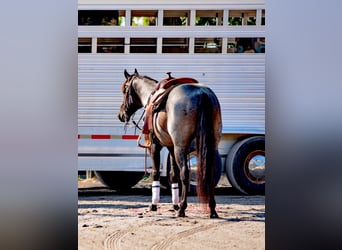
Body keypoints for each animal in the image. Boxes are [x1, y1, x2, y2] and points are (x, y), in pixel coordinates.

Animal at [117, 69, 223, 219]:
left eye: (124, 90)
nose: (121, 115)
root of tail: (202, 94)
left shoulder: (155, 146)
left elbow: (156, 173)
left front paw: (154, 204)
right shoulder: (171, 148)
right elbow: (173, 174)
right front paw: (174, 204)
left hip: (181, 147)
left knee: (185, 173)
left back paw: (183, 209)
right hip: (211, 145)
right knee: (209, 173)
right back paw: (212, 209)